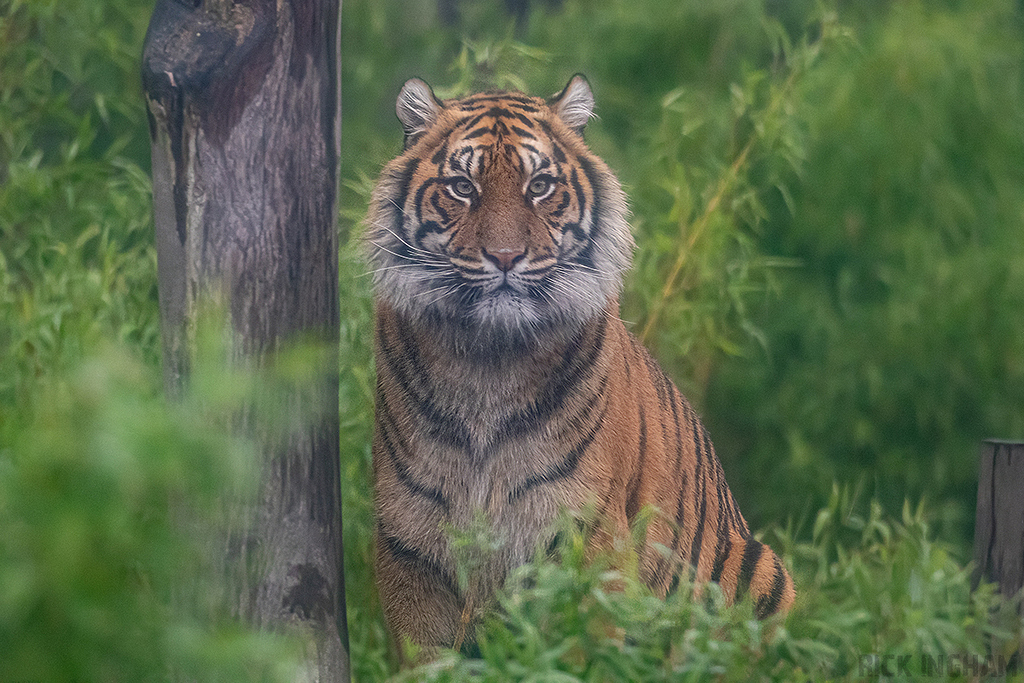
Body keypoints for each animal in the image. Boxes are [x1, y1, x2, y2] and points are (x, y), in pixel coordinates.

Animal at [366, 74, 795, 657]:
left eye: (540, 186)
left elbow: (577, 650)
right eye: (462, 187)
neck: (486, 360)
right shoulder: (409, 546)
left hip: (764, 572)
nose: (505, 257)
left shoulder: (583, 535)